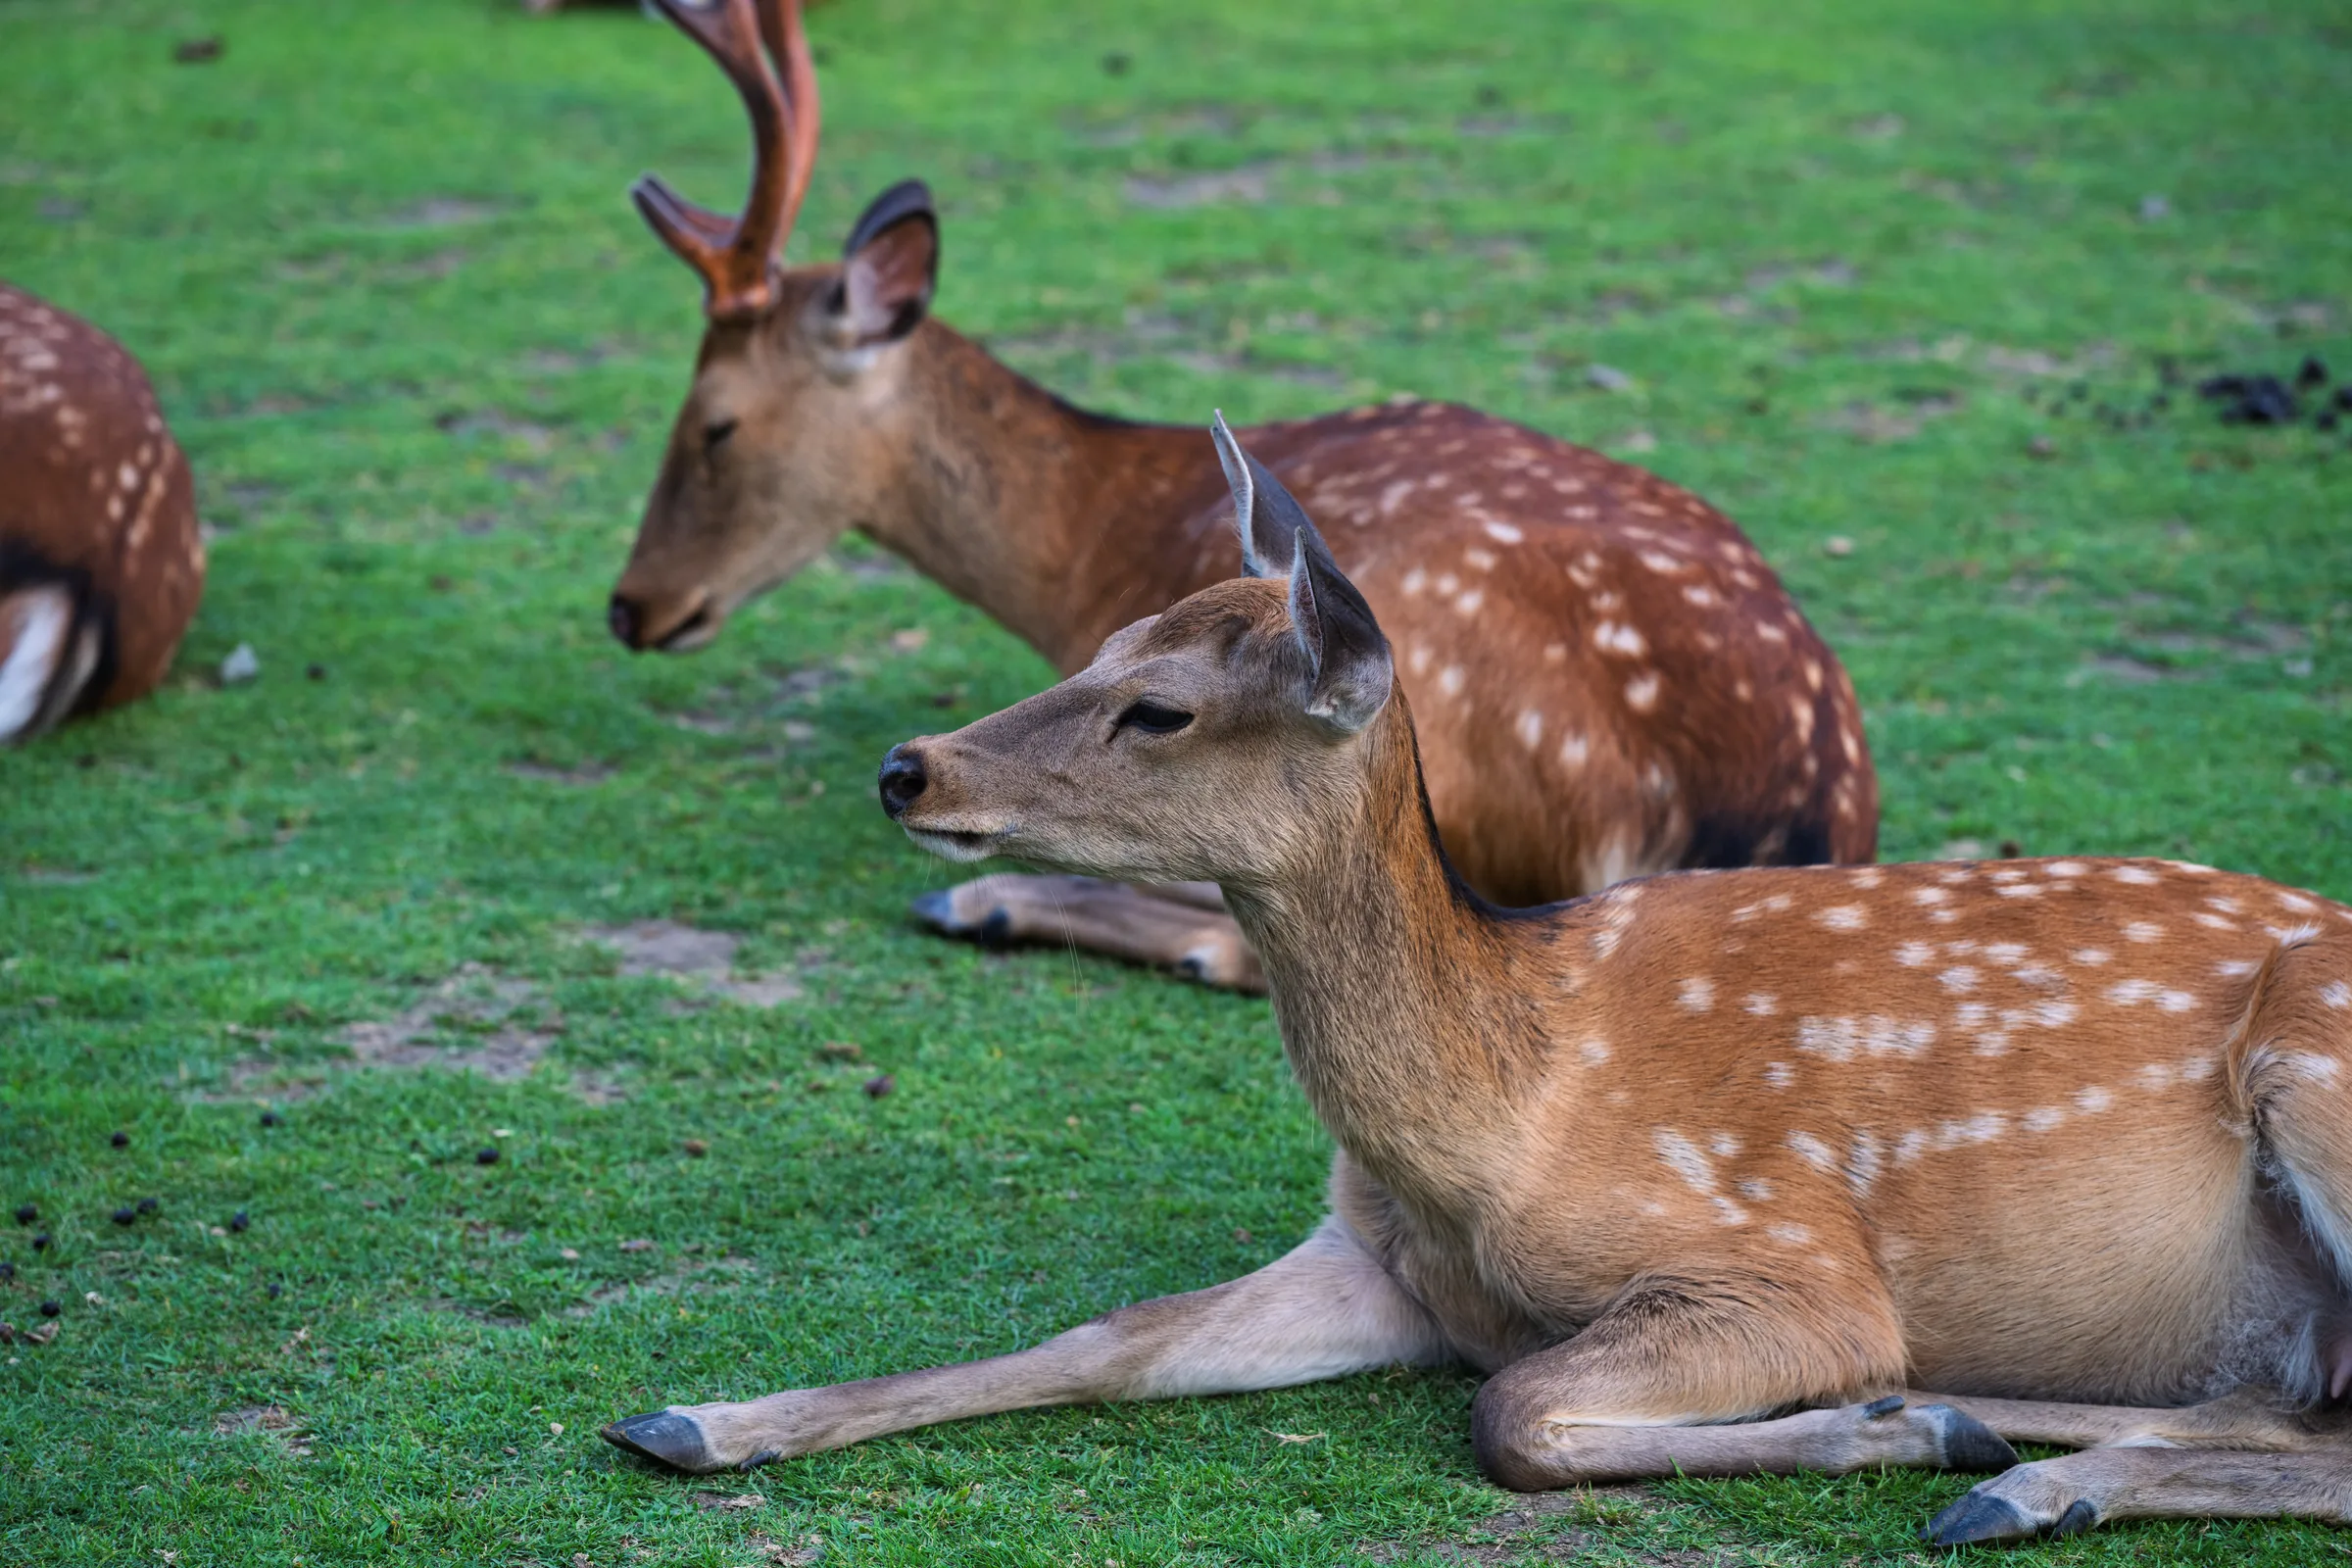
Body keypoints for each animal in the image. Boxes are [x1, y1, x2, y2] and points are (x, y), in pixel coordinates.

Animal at [603, 434, 2352, 1545]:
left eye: (1159, 707)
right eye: (1096, 639)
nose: (912, 768)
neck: (1496, 1125)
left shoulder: (1786, 1262)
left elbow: (1512, 1412)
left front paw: (1894, 1420)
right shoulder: (1369, 1261)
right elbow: (1107, 1338)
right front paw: (697, 1418)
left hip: (2314, 1079)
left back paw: (2013, 1475)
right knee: (2295, 1413)